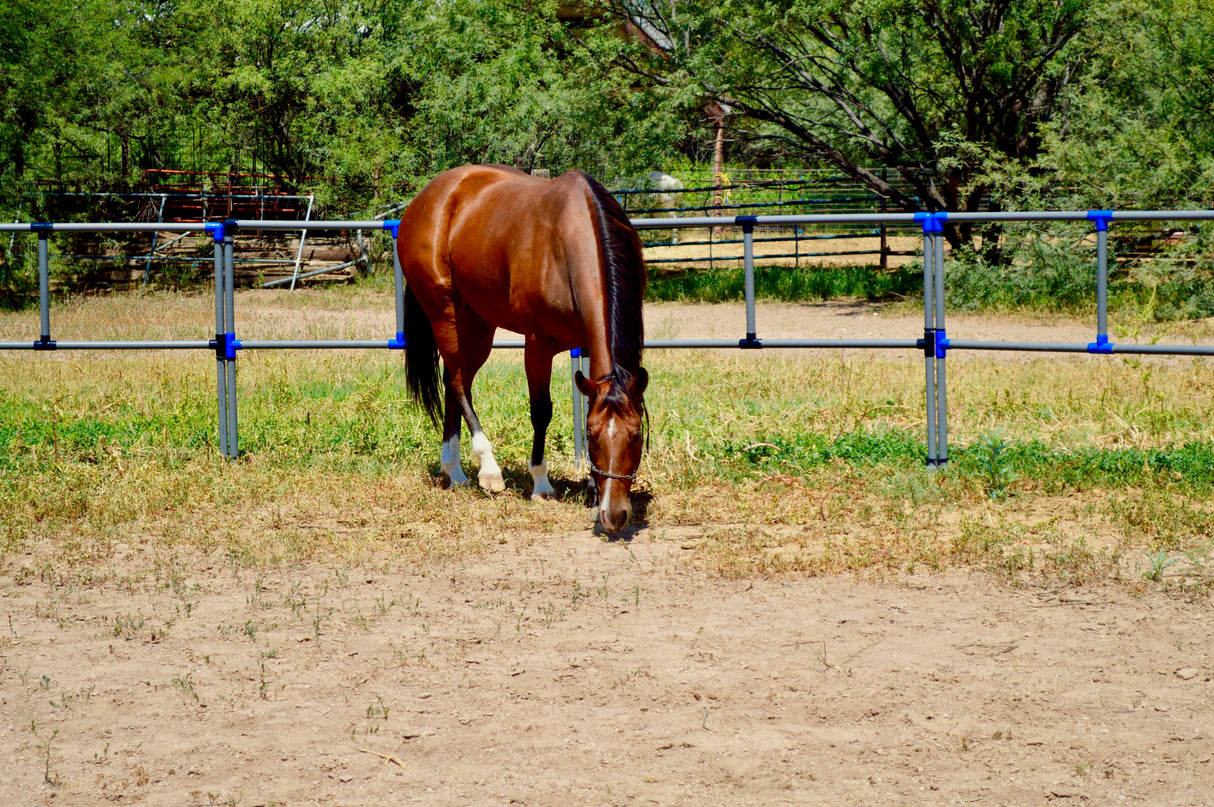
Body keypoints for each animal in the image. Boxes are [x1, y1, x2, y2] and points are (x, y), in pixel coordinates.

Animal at [395, 162, 645, 533]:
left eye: (636, 435)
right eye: (593, 436)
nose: (614, 515)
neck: (570, 238)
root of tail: (426, 198)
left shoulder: (587, 343)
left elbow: (588, 402)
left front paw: (591, 489)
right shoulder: (537, 345)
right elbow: (541, 410)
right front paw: (541, 484)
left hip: (477, 324)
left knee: (457, 383)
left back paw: (454, 471)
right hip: (444, 313)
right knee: (457, 383)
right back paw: (488, 470)